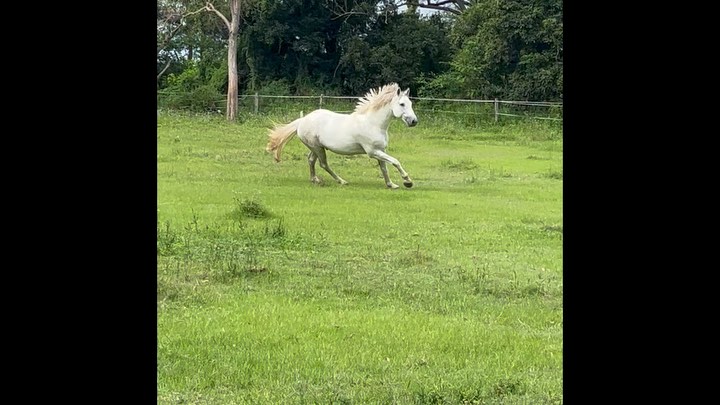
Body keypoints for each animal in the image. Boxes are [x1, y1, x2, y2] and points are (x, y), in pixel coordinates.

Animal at [265, 83, 418, 189]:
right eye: (402, 104)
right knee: (323, 164)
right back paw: (341, 181)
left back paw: (315, 180)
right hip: (317, 148)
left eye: (410, 103)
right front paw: (407, 181)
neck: (373, 123)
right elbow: (395, 161)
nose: (414, 121)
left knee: (311, 160)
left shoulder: (381, 150)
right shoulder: (373, 152)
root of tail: (302, 120)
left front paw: (391, 185)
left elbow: (384, 168)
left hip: (317, 147)